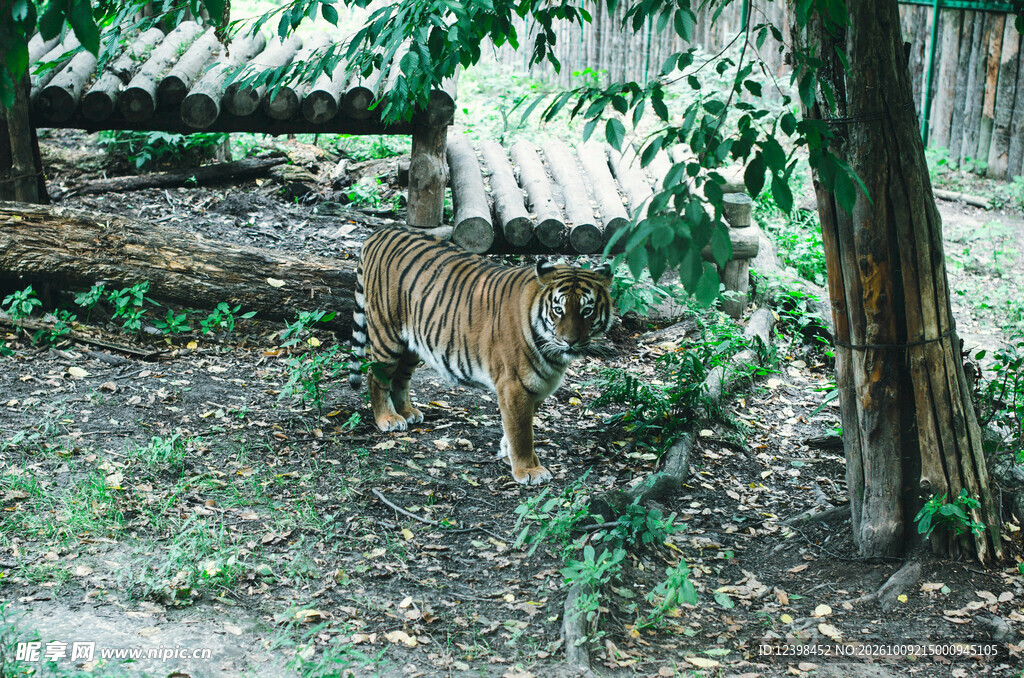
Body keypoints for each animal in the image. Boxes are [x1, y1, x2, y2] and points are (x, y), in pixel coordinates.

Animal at [349, 226, 614, 485]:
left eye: (587, 311)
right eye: (558, 310)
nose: (571, 341)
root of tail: (381, 231)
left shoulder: (536, 386)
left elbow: (517, 427)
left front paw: (508, 454)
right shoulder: (513, 385)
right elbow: (521, 431)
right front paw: (528, 470)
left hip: (412, 344)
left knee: (401, 378)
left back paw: (407, 412)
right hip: (387, 334)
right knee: (375, 375)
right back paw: (388, 418)